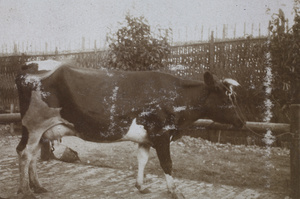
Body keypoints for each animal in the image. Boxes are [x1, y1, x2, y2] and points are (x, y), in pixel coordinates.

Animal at [15, 62, 244, 199]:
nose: (242, 122)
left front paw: (141, 186)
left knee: (30, 154)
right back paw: (26, 190)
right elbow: (167, 163)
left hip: (38, 131)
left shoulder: (146, 137)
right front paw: (175, 191)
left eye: (234, 96)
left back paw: (37, 186)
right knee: (25, 154)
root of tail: (28, 66)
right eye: (226, 98)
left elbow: (142, 160)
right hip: (34, 125)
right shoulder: (161, 134)